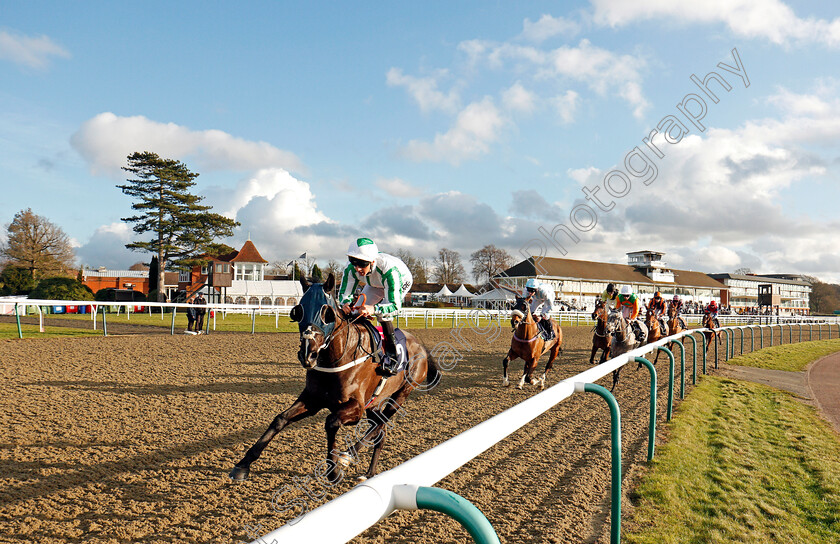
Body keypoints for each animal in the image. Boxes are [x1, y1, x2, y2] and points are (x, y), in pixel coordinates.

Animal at [230, 274, 440, 482]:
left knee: (379, 424)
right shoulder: (312, 399)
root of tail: (420, 346)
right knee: (380, 431)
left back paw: (349, 454)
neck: (337, 357)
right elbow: (280, 419)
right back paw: (369, 472)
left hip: (401, 393)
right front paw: (243, 464)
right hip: (374, 403)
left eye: (327, 313)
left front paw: (334, 470)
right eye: (299, 310)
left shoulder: (356, 407)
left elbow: (331, 422)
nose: (307, 354)